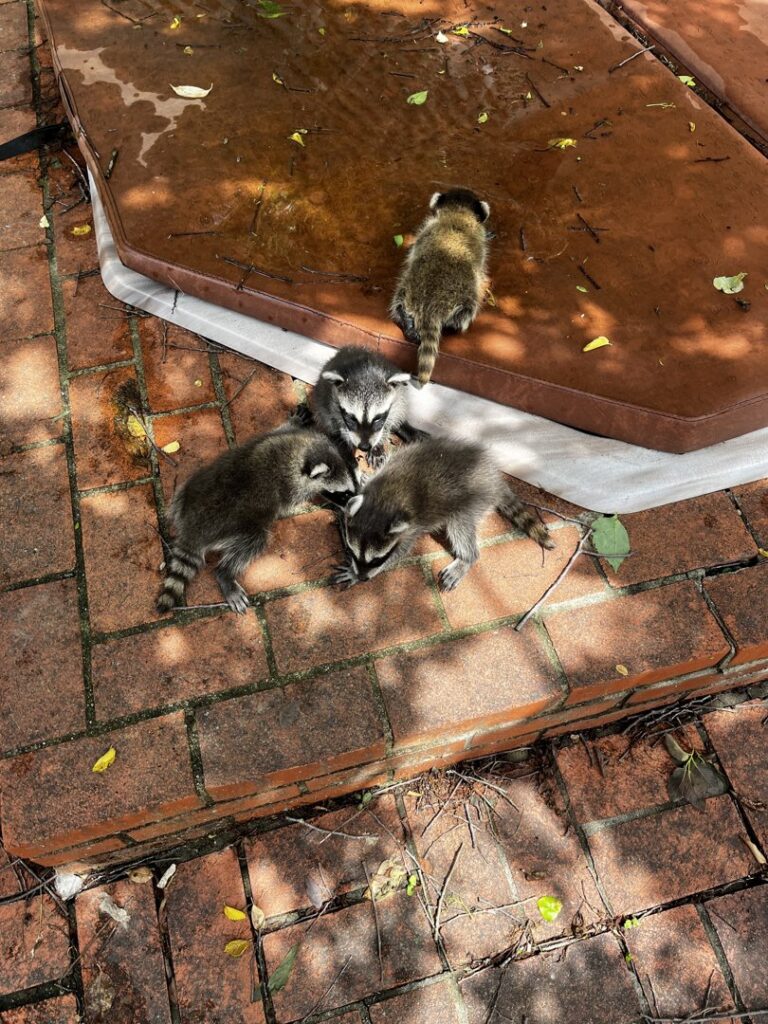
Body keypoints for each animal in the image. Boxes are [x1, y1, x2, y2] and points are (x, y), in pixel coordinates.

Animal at [157, 428, 358, 613]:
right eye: (343, 493)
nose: (354, 500)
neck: (301, 452)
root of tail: (192, 531)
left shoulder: (275, 438)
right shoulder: (289, 488)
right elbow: (288, 506)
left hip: (186, 491)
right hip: (238, 527)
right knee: (252, 544)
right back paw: (225, 574)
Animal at [333, 437, 552, 591]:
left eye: (377, 560)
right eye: (352, 552)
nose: (363, 578)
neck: (383, 501)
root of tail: (494, 480)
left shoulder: (412, 527)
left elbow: (400, 551)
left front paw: (358, 574)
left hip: (472, 501)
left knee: (460, 527)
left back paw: (467, 557)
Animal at [390, 188, 490, 387]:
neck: (457, 213)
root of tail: (431, 307)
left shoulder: (424, 234)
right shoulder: (479, 242)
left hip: (407, 288)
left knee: (398, 301)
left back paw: (406, 321)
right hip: (464, 297)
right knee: (466, 313)